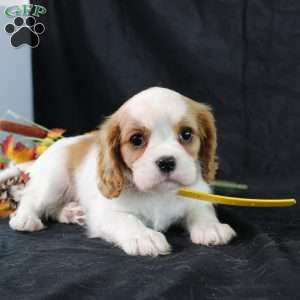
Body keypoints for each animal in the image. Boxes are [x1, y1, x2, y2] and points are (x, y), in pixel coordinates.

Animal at [8, 86, 237, 255]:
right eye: (136, 139)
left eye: (187, 134)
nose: (166, 162)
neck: (158, 193)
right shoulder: (105, 213)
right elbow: (127, 220)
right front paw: (144, 237)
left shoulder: (196, 195)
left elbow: (201, 210)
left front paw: (210, 227)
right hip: (53, 181)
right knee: (31, 198)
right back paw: (25, 219)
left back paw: (71, 212)